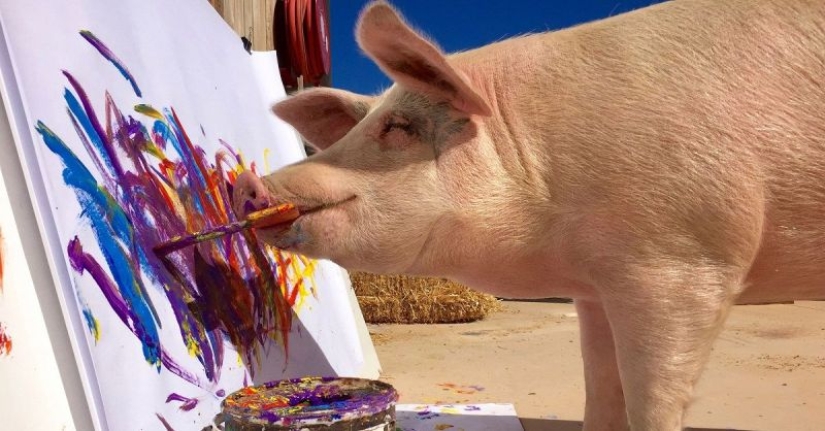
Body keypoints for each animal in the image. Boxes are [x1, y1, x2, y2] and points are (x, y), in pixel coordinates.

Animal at [233, 1, 825, 430]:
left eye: (397, 127)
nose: (247, 182)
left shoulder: (683, 260)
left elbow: (652, 402)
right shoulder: (597, 287)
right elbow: (601, 391)